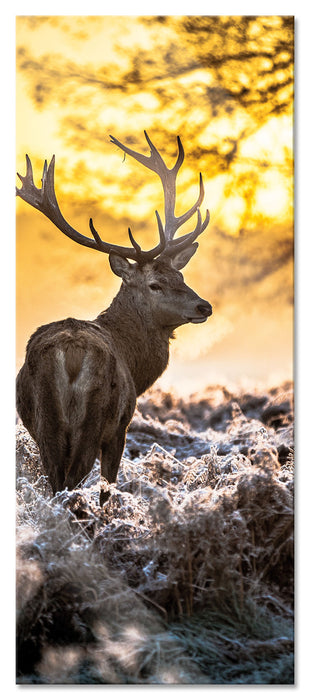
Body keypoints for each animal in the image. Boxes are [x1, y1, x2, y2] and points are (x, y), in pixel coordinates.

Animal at [15, 131, 212, 504]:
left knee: (55, 482)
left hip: (45, 422)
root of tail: (70, 354)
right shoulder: (121, 426)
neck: (135, 363)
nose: (204, 307)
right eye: (155, 284)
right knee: (72, 482)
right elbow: (109, 485)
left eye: (180, 276)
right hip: (95, 419)